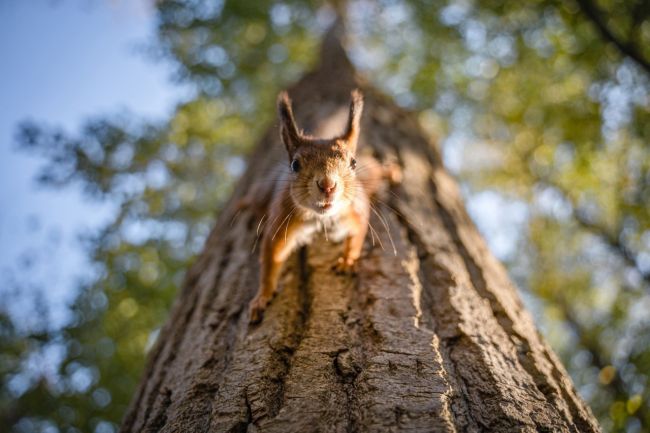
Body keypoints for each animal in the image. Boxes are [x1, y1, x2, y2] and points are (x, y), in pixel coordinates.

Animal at [246, 89, 400, 322]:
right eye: (295, 164)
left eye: (353, 163)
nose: (327, 185)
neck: (322, 218)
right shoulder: (282, 219)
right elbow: (272, 256)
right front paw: (261, 297)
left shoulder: (356, 211)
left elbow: (357, 235)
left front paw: (347, 261)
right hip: (261, 196)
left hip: (370, 176)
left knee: (378, 170)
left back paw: (393, 172)